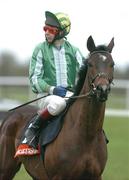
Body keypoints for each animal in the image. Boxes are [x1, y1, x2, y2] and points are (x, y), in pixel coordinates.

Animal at [0, 35, 115, 179]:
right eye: (90, 64)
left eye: (112, 64)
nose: (102, 90)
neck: (87, 135)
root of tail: (9, 115)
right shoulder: (58, 176)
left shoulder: (96, 176)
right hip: (6, 168)